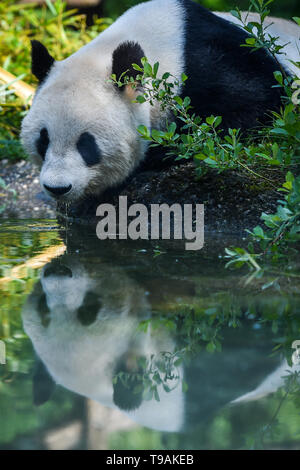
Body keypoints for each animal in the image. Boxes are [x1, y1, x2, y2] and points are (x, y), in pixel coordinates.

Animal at [20, 0, 298, 203]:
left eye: (87, 144)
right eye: (43, 140)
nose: (57, 187)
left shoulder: (215, 63)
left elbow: (255, 105)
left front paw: (157, 154)